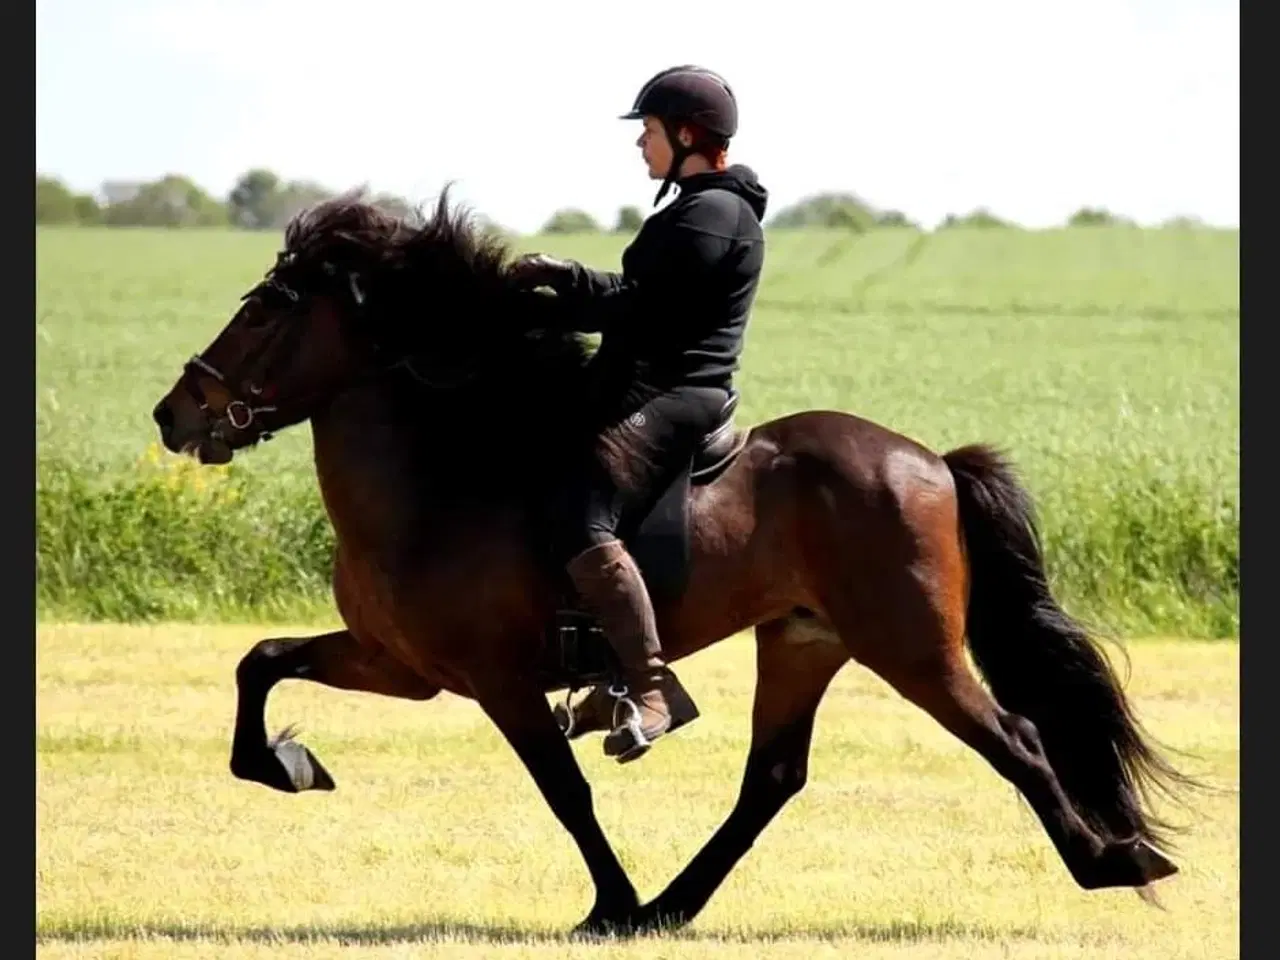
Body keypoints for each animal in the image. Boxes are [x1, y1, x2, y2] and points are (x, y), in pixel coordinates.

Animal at [154, 192, 1192, 936]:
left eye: (261, 314)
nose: (173, 415)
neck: (441, 477)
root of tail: (930, 460)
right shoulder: (402, 667)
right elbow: (260, 662)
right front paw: (288, 764)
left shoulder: (497, 679)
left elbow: (563, 791)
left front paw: (607, 905)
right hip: (806, 641)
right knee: (773, 777)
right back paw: (672, 907)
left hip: (913, 649)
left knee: (1015, 738)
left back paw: (1116, 862)